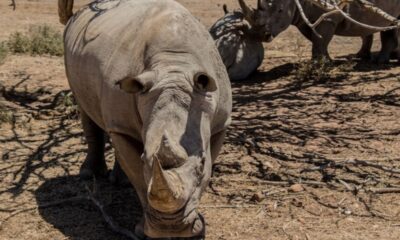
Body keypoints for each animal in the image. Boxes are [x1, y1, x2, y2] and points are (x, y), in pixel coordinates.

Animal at [57, 0, 231, 238]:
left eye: (202, 163)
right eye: (143, 159)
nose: (171, 228)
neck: (174, 69)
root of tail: (83, 10)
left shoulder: (220, 123)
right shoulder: (121, 124)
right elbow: (138, 175)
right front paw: (145, 231)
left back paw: (119, 181)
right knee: (86, 110)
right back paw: (89, 174)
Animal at [238, 0, 400, 62]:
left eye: (280, 11)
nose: (259, 36)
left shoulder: (328, 17)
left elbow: (320, 39)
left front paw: (319, 64)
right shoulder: (304, 19)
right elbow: (318, 40)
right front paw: (324, 60)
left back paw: (380, 61)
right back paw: (360, 56)